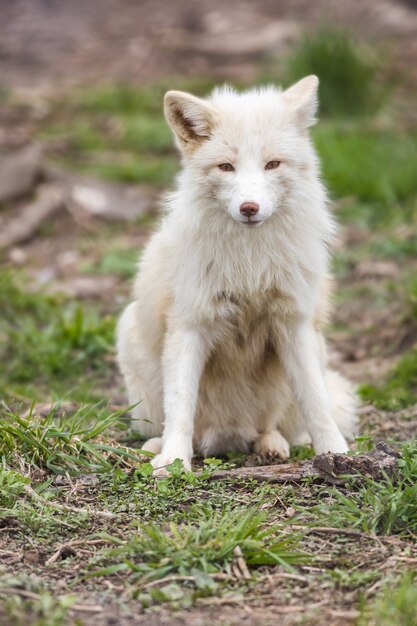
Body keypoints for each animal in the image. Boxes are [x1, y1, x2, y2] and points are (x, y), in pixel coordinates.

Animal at [115, 75, 356, 470]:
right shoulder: (190, 322)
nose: (249, 208)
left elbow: (317, 404)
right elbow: (180, 408)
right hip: (130, 337)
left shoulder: (293, 322)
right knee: (168, 424)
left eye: (272, 164)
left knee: (275, 425)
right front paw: (174, 462)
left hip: (312, 352)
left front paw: (339, 455)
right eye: (226, 167)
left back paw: (271, 446)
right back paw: (157, 448)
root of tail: (228, 438)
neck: (249, 268)